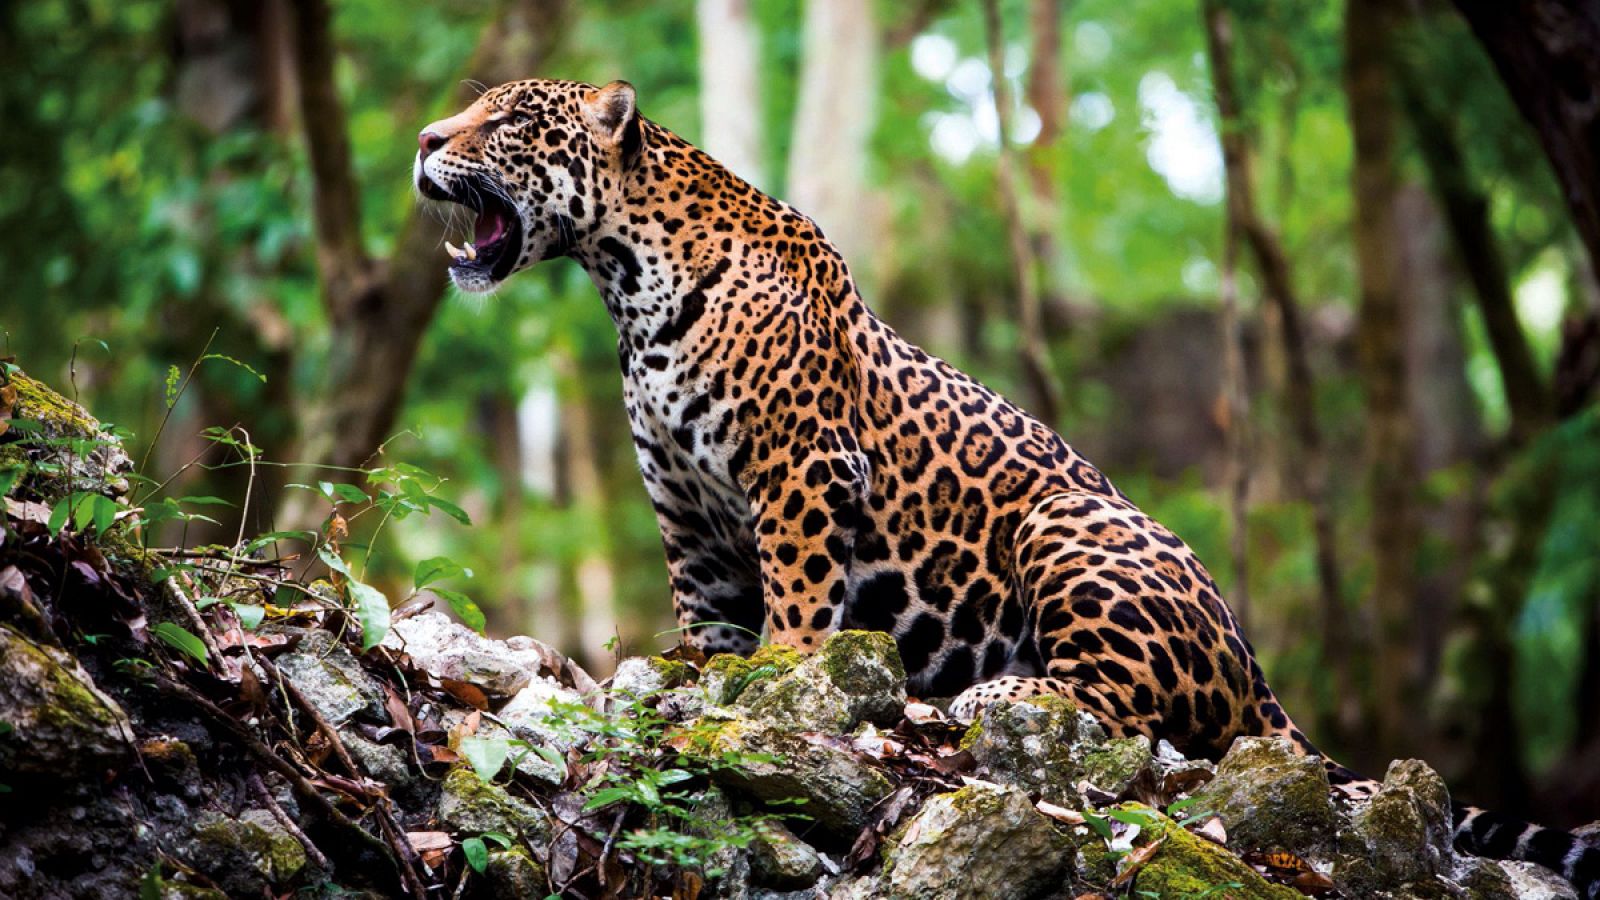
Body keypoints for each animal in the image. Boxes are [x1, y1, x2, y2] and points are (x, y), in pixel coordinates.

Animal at [413, 77, 1598, 897]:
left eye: (504, 121)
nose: (426, 141)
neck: (626, 284)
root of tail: (1260, 675)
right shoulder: (685, 510)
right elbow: (703, 620)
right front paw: (698, 677)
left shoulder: (796, 469)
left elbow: (796, 601)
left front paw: (778, 681)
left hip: (1074, 526)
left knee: (1128, 720)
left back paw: (987, 696)